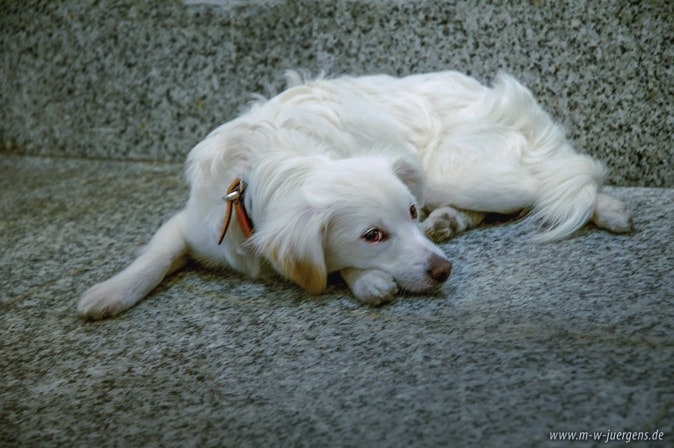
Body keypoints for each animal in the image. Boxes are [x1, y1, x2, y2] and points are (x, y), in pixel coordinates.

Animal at [77, 71, 632, 318]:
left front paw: (365, 281)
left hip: (468, 173)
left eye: (408, 211)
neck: (263, 169)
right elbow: (152, 260)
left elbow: (328, 266)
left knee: (568, 172)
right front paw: (108, 293)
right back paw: (449, 220)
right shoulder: (189, 224)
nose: (444, 270)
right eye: (373, 235)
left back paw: (610, 210)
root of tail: (485, 88)